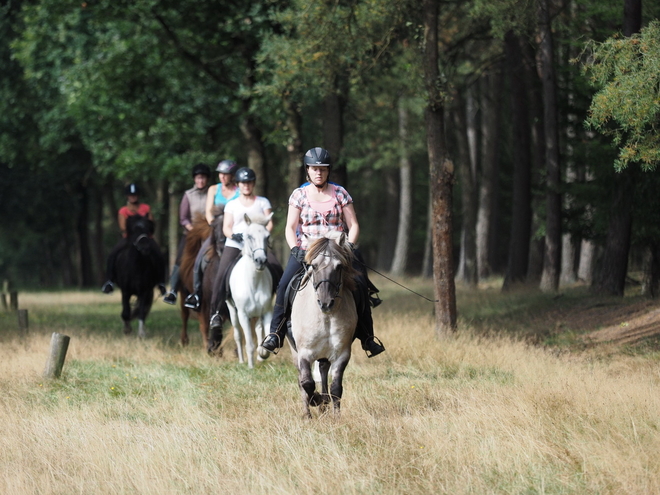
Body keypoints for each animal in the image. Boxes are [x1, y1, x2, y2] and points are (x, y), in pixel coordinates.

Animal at [290, 232, 360, 418]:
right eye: (313, 266)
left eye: (339, 266)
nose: (325, 303)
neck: (325, 317)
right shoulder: (304, 353)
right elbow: (307, 383)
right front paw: (315, 401)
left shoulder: (342, 354)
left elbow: (336, 388)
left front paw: (336, 417)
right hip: (295, 352)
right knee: (303, 381)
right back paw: (308, 413)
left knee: (322, 371)